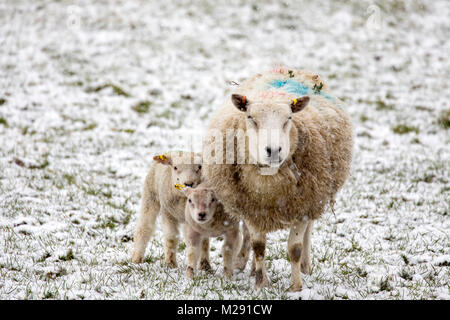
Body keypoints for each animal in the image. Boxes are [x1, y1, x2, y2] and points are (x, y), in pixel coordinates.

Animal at [202, 69, 354, 292]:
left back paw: (306, 267)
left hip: (316, 196)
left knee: (309, 232)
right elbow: (258, 246)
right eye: (250, 117)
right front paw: (261, 283)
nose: (273, 151)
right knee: (248, 234)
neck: (270, 187)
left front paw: (296, 286)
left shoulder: (303, 207)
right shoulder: (251, 208)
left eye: (289, 118)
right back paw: (244, 264)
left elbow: (295, 248)